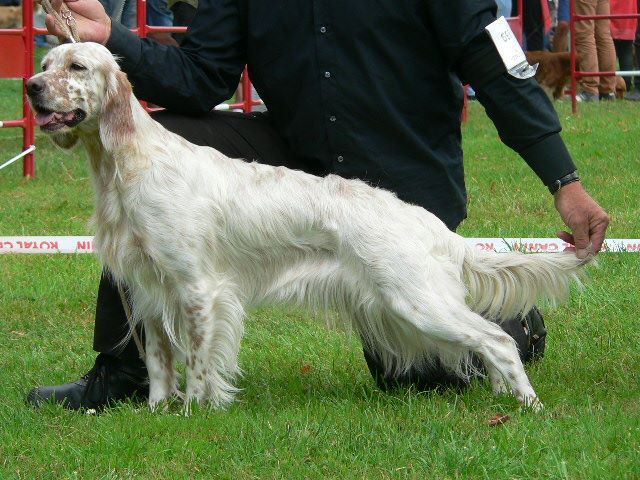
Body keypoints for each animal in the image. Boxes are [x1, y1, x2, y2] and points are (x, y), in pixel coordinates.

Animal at [28, 43, 592, 414]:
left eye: (76, 66)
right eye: (44, 65)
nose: (31, 88)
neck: (128, 163)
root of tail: (431, 225)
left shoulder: (198, 289)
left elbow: (199, 365)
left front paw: (196, 415)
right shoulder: (147, 289)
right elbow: (161, 365)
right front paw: (158, 415)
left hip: (416, 300)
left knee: (498, 339)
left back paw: (528, 405)